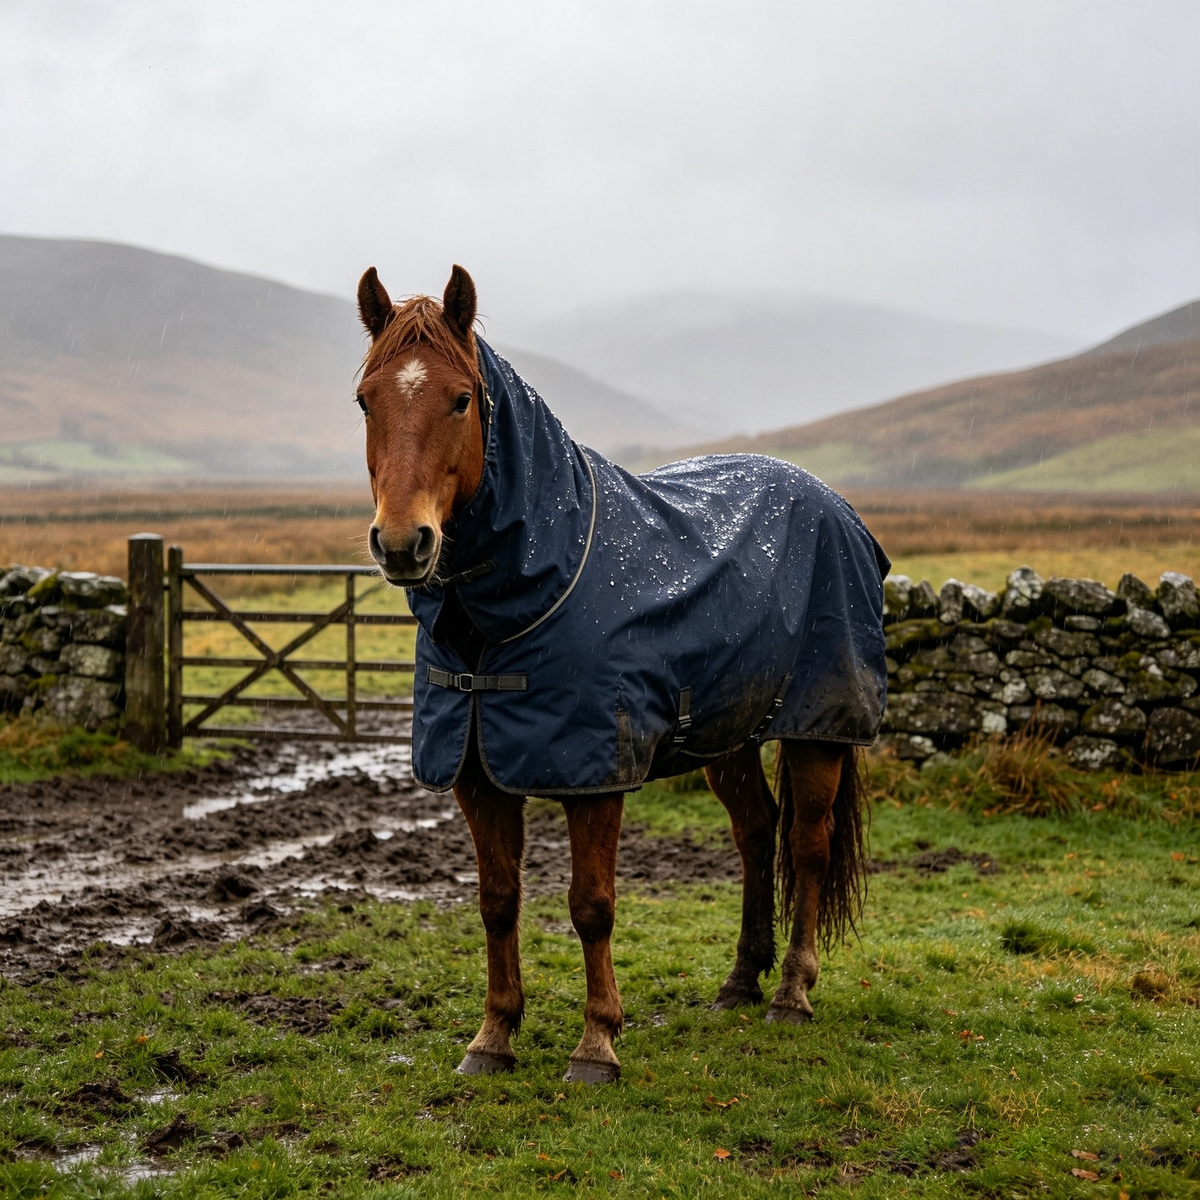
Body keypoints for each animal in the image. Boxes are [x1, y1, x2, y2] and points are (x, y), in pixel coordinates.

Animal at [355, 264, 890, 1085]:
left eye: (461, 398)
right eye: (365, 399)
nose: (401, 543)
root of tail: (835, 505)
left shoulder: (595, 773)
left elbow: (591, 905)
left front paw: (597, 1044)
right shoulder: (476, 769)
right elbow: (498, 900)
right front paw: (493, 1036)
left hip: (818, 728)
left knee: (808, 844)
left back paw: (792, 994)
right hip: (728, 735)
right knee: (755, 831)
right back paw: (741, 980)